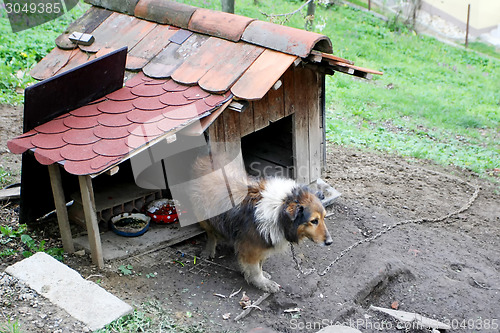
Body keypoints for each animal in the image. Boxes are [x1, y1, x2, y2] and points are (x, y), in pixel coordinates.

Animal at [189, 154, 334, 292]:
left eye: (324, 217)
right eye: (314, 221)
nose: (330, 242)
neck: (279, 209)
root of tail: (205, 157)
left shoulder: (263, 242)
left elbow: (260, 263)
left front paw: (263, 275)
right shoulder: (250, 248)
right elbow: (255, 269)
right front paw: (263, 283)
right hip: (203, 216)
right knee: (211, 233)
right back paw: (209, 250)